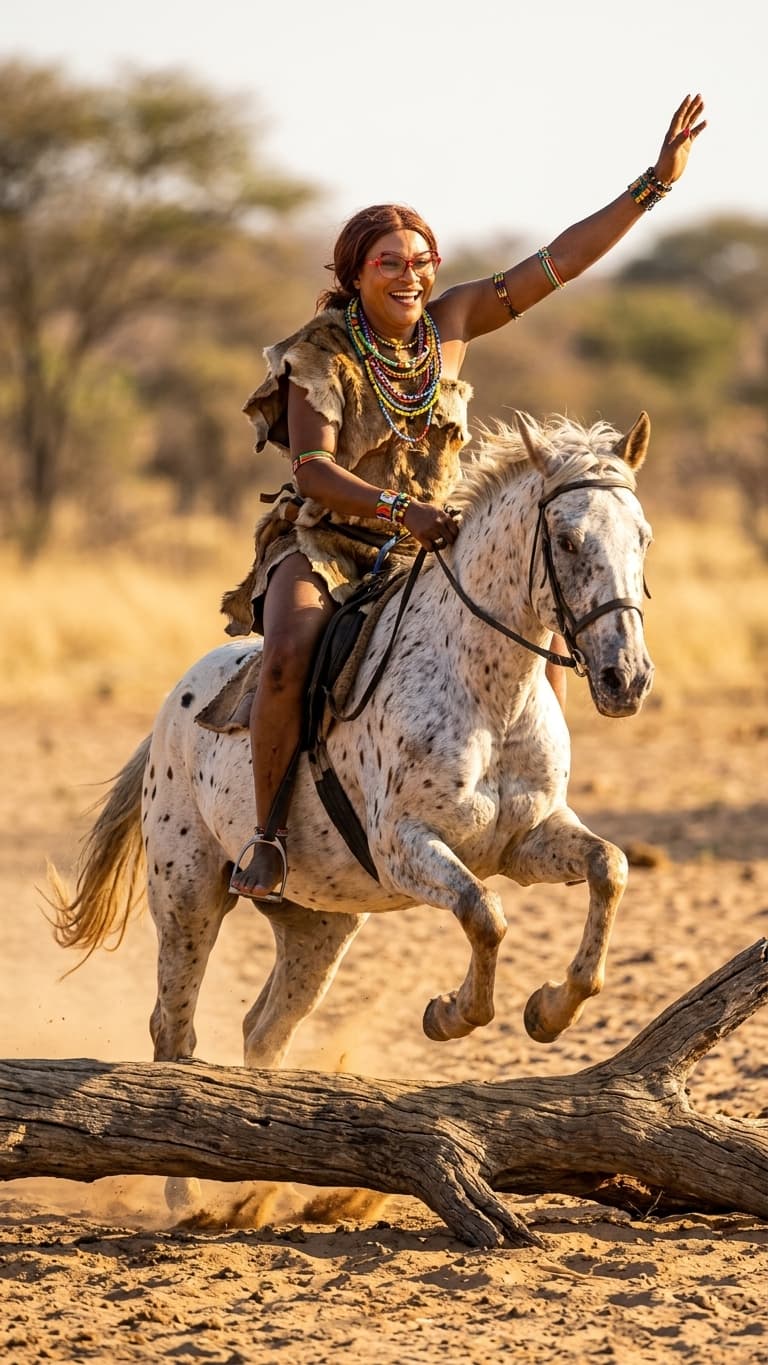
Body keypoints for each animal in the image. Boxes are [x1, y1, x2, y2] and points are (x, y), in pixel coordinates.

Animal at [52, 411, 654, 1086]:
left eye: (643, 540)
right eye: (569, 541)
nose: (626, 678)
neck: (488, 694)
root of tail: (170, 709)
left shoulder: (526, 841)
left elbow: (609, 867)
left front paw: (551, 1009)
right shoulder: (403, 846)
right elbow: (485, 912)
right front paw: (449, 1015)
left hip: (320, 922)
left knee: (264, 1028)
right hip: (187, 895)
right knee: (173, 1025)